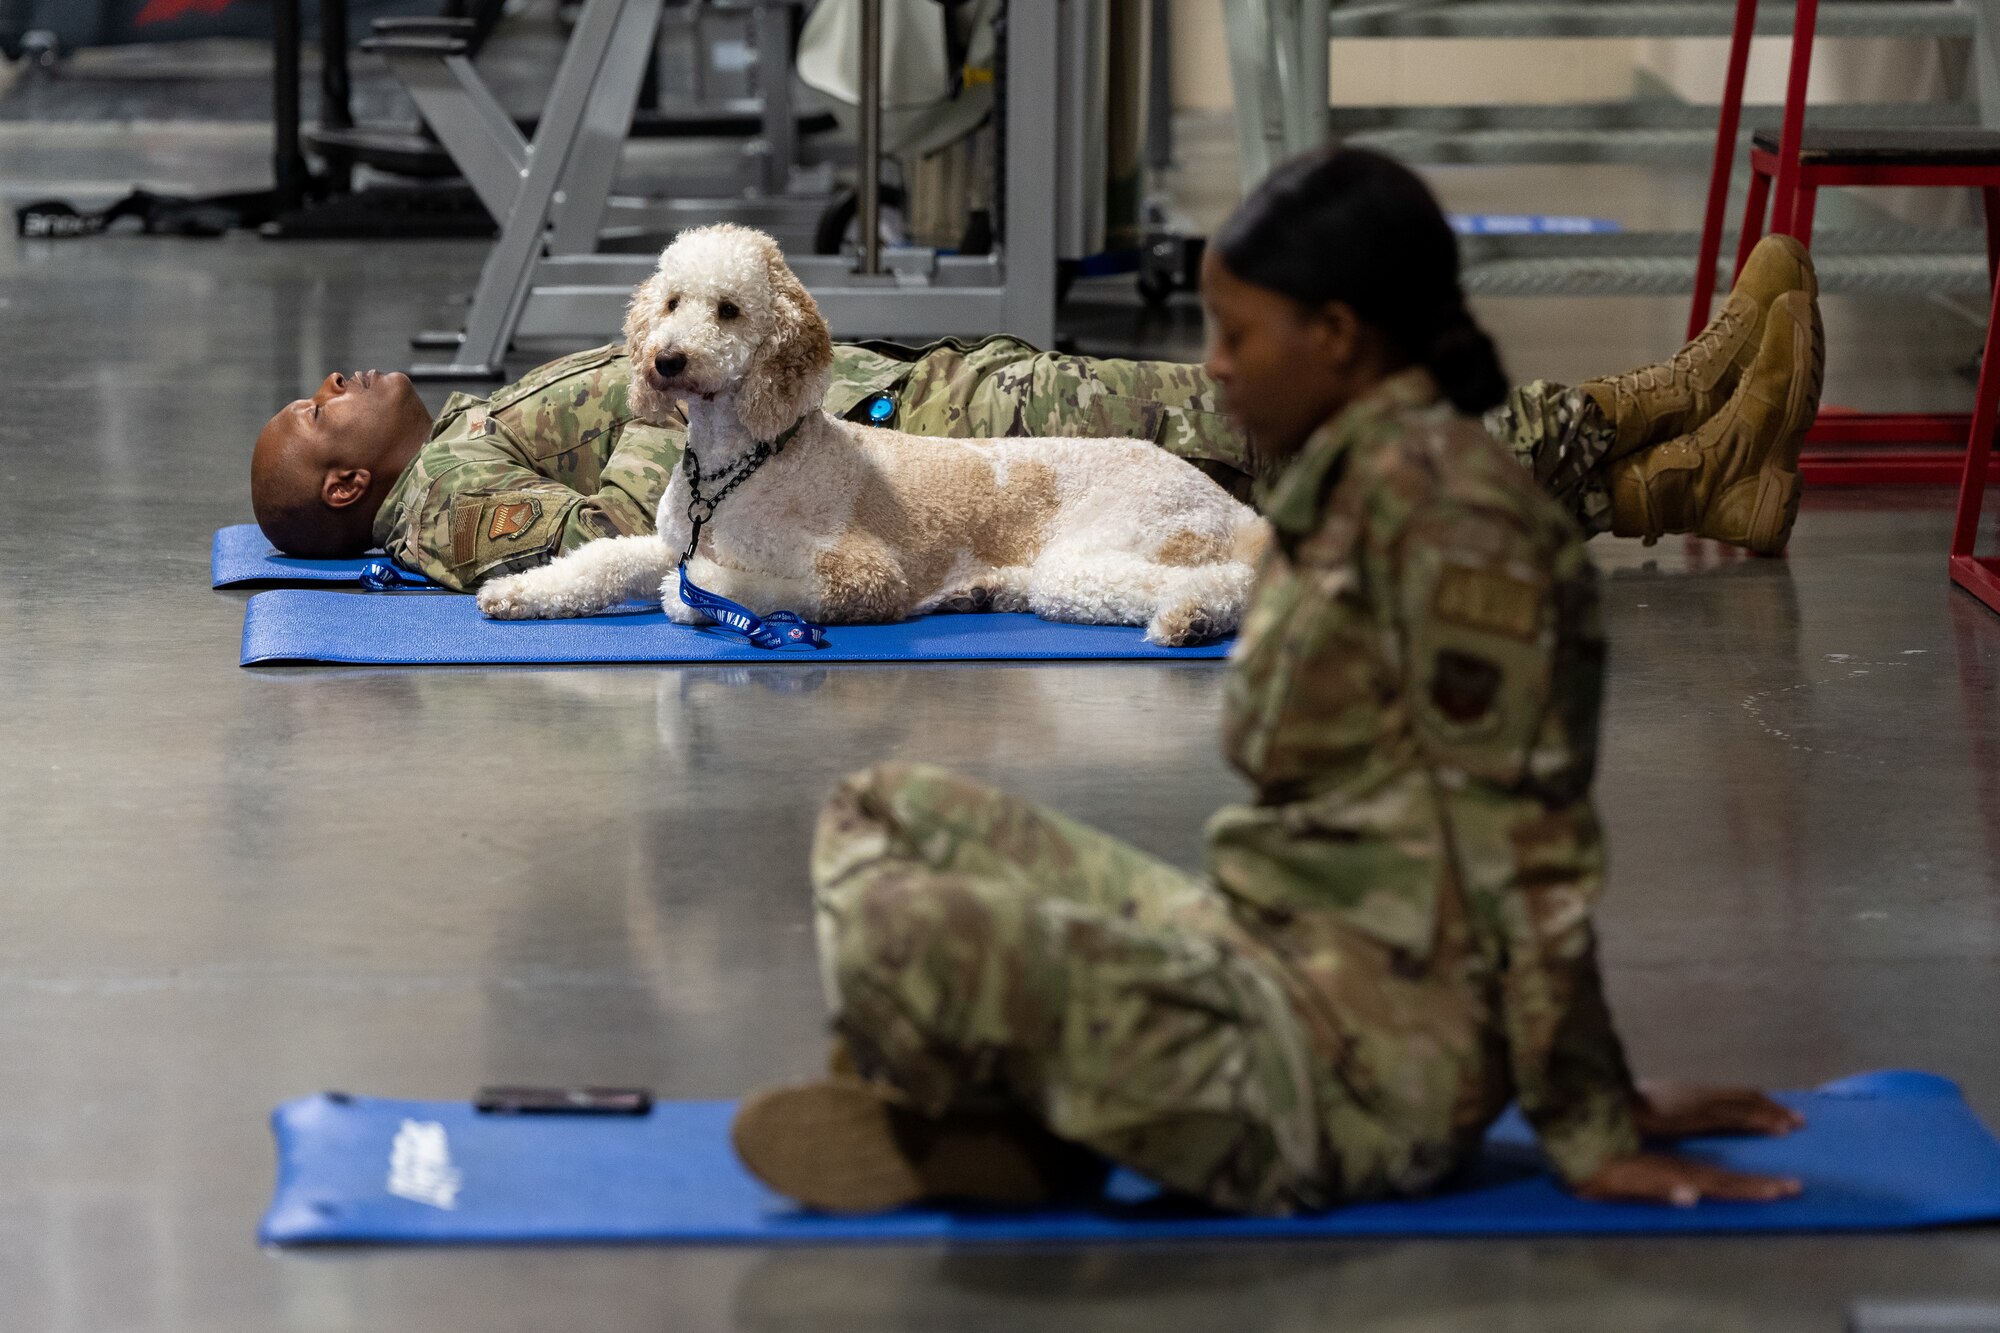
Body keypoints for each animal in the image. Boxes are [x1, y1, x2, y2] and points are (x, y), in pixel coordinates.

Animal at [476, 223, 1256, 644]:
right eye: (670, 302)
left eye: (729, 310)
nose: (665, 360)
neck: (743, 463)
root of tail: (1229, 504)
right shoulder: (673, 541)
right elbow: (603, 560)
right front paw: (521, 592)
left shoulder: (862, 576)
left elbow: (707, 586)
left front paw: (698, 595)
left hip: (1102, 552)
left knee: (1232, 581)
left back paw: (1192, 617)